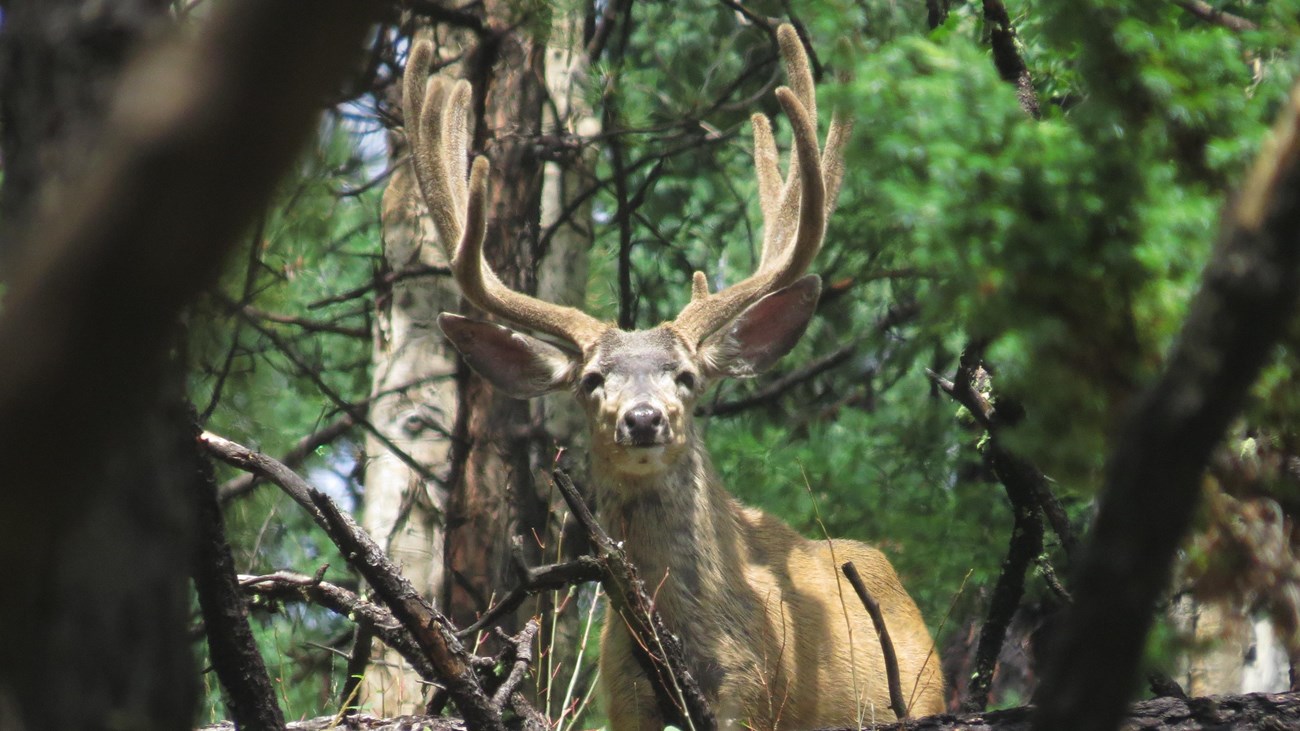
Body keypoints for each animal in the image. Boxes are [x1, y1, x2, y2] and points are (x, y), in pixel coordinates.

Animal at [401, 25, 945, 730]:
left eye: (686, 376)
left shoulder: (751, 698)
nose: (643, 419)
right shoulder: (623, 696)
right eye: (592, 380)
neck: (696, 643)